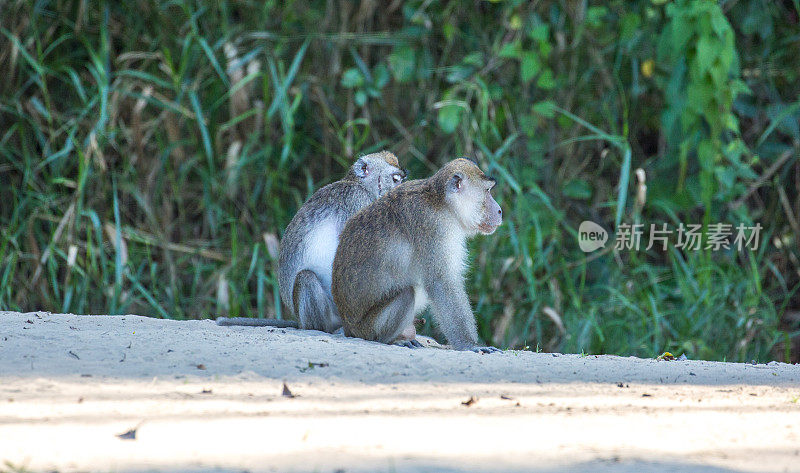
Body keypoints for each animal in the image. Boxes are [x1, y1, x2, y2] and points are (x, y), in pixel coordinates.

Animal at [219, 151, 406, 332]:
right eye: (395, 179)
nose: (401, 192)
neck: (359, 184)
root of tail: (299, 320)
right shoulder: (357, 201)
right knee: (306, 278)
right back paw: (323, 327)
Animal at [330, 158, 500, 350]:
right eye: (487, 191)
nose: (499, 210)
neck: (442, 203)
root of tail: (348, 327)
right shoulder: (433, 227)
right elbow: (441, 283)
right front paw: (469, 344)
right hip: (369, 328)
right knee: (407, 294)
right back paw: (390, 340)